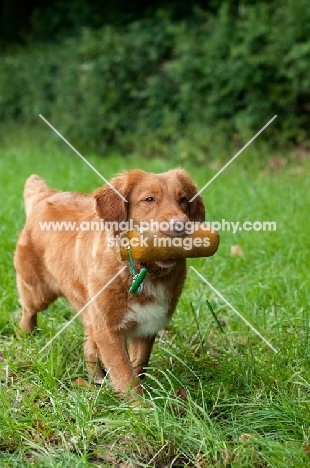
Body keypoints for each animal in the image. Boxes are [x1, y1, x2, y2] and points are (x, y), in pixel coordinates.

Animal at [14, 168, 205, 394]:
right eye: (149, 199)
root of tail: (48, 195)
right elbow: (126, 376)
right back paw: (27, 338)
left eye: (183, 200)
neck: (142, 271)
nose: (181, 225)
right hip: (38, 292)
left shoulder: (148, 325)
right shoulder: (108, 331)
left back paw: (96, 381)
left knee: (88, 345)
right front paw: (140, 404)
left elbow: (138, 367)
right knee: (28, 312)